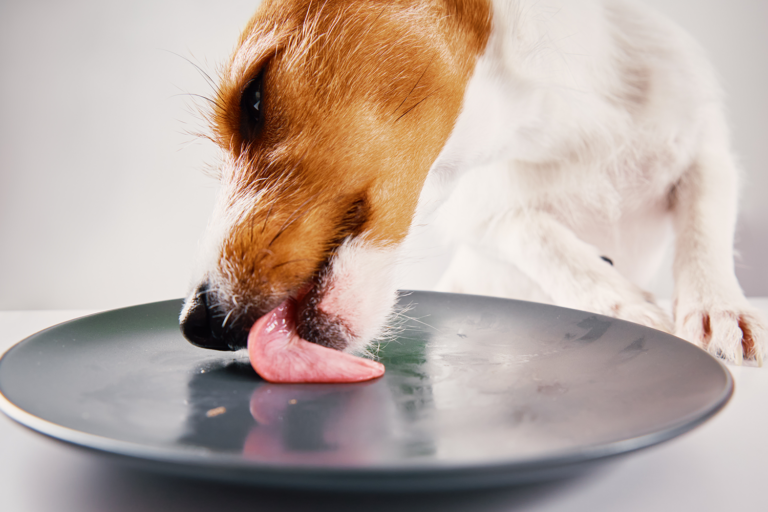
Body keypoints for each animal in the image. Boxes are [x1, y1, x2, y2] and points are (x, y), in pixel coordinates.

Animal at [182, 0, 768, 380]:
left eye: (253, 98)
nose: (196, 323)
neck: (564, 129)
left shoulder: (704, 148)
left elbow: (704, 227)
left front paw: (718, 309)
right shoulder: (483, 211)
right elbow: (536, 235)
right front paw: (621, 300)